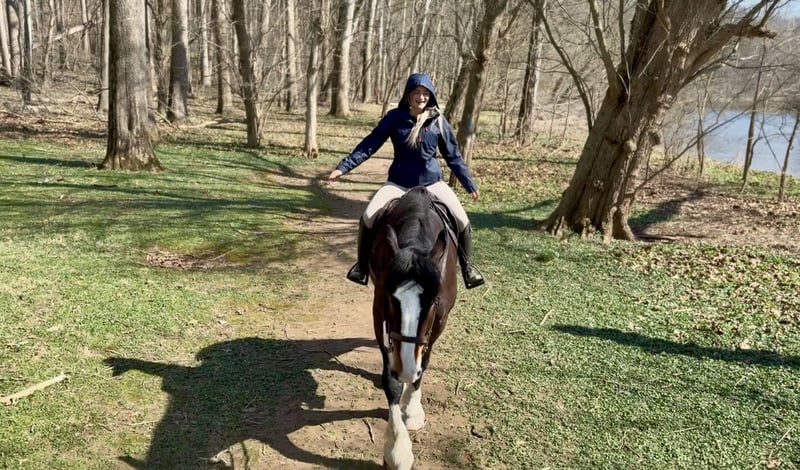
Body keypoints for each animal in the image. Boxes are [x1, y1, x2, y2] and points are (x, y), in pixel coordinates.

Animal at [368, 185, 459, 470]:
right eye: (390, 298)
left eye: (434, 301)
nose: (406, 368)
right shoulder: (379, 314)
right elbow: (391, 382)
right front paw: (397, 449)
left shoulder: (441, 319)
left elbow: (425, 362)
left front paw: (413, 409)